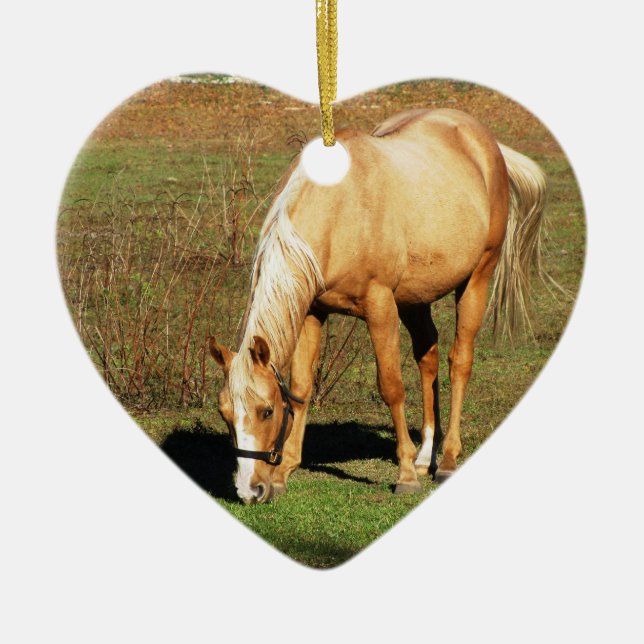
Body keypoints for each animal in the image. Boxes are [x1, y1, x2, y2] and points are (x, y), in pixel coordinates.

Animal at [209, 107, 547, 504]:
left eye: (265, 411)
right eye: (225, 414)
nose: (250, 490)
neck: (340, 210)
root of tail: (484, 142)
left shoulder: (380, 306)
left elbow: (391, 386)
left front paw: (405, 476)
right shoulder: (312, 311)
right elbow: (302, 387)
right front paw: (284, 473)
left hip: (476, 279)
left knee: (459, 362)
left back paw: (446, 459)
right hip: (415, 298)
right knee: (428, 358)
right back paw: (425, 456)